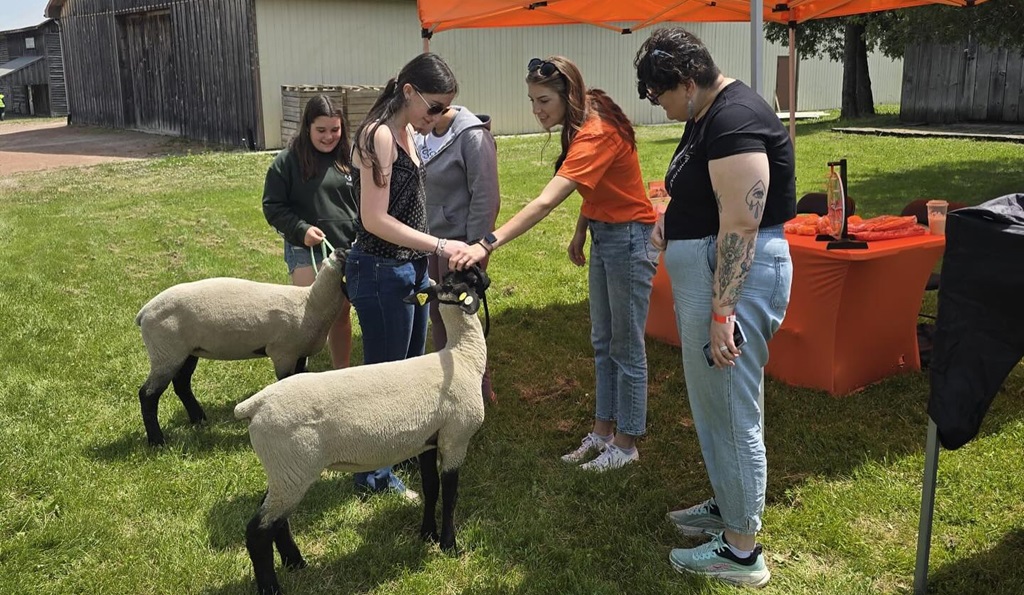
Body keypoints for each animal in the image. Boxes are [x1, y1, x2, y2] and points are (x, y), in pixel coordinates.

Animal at [135, 249, 348, 446]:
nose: (340, 251)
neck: (311, 303)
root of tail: (144, 312)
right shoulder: (283, 353)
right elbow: (285, 381)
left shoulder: (300, 352)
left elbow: (299, 379)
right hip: (166, 351)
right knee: (148, 394)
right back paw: (157, 440)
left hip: (186, 351)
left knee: (181, 384)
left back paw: (198, 419)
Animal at [234, 267, 489, 595]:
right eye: (472, 279)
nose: (485, 276)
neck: (463, 356)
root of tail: (256, 404)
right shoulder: (456, 438)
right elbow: (450, 495)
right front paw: (449, 545)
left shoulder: (428, 441)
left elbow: (431, 488)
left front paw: (427, 535)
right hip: (293, 468)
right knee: (258, 530)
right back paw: (272, 587)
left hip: (284, 468)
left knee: (277, 521)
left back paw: (296, 562)